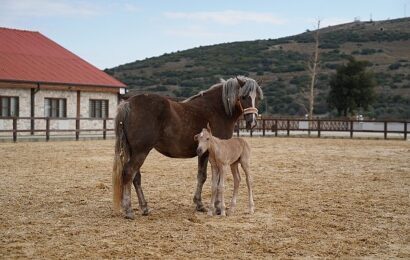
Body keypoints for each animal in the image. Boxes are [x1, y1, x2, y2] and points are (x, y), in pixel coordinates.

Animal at [113, 75, 262, 219]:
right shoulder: (209, 154)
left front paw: (203, 204)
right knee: (128, 173)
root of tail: (128, 104)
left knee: (135, 177)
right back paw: (128, 210)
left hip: (133, 151)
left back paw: (144, 207)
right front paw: (213, 206)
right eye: (244, 96)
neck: (217, 109)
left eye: (258, 98)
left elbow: (203, 176)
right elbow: (207, 177)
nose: (252, 122)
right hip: (141, 152)